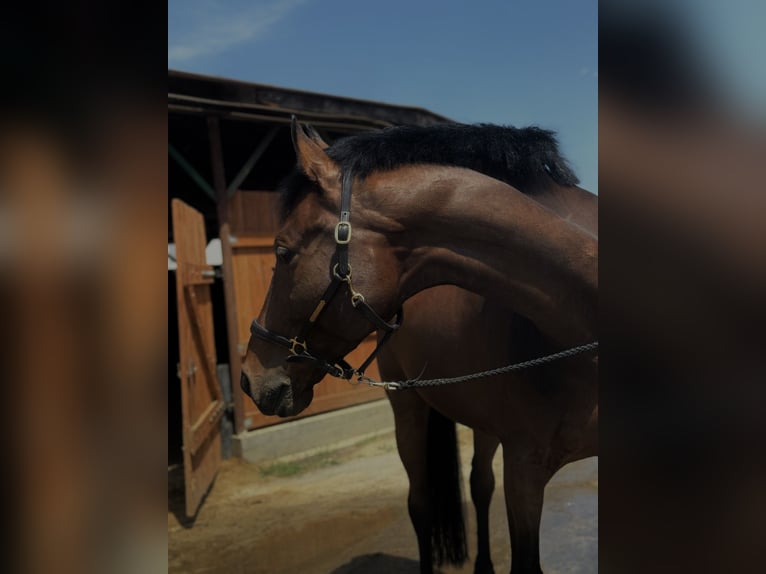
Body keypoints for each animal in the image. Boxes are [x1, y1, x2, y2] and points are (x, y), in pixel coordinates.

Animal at [242, 118, 600, 574]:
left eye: (283, 251)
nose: (249, 377)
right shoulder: (525, 472)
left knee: (479, 485)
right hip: (407, 407)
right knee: (422, 503)